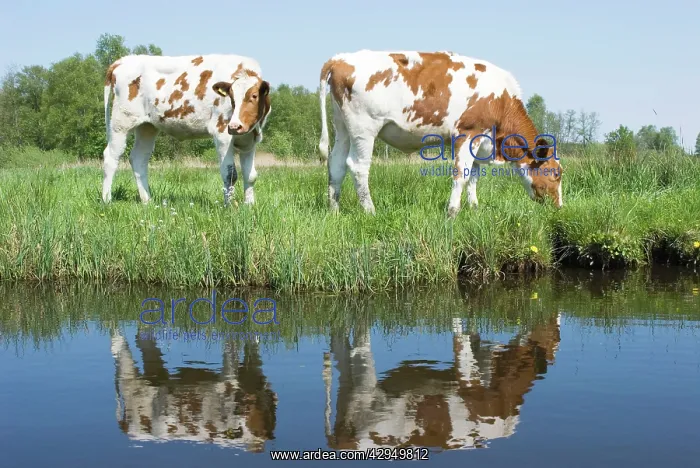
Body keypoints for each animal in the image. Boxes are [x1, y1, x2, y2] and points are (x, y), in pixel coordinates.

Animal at [102, 54, 271, 206]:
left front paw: (249, 206)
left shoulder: (250, 140)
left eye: (254, 96)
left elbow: (250, 176)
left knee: (138, 158)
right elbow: (230, 175)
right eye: (232, 98)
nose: (235, 126)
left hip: (147, 127)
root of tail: (123, 60)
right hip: (121, 122)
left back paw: (147, 201)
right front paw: (230, 208)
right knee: (111, 157)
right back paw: (107, 200)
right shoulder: (222, 133)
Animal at [318, 50, 563, 217]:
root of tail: (339, 59)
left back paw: (334, 209)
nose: (559, 207)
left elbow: (474, 176)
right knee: (358, 167)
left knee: (336, 163)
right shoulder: (468, 132)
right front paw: (452, 212)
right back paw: (370, 210)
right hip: (364, 128)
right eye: (555, 174)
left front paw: (474, 208)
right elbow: (461, 174)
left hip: (342, 127)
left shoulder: (481, 142)